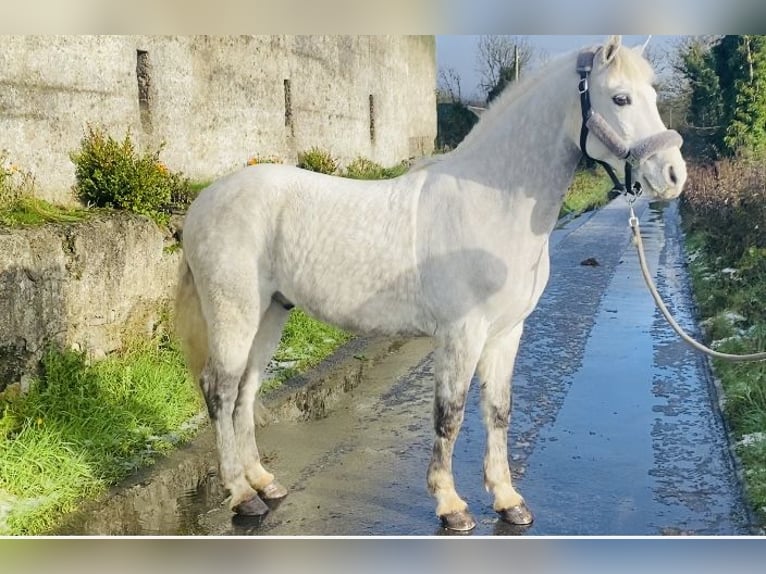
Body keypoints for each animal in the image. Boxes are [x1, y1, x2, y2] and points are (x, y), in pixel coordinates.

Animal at [177, 36, 688, 532]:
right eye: (620, 97)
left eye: (653, 95)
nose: (672, 175)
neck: (491, 203)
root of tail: (205, 201)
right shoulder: (462, 334)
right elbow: (450, 414)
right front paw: (451, 505)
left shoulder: (506, 333)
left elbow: (497, 412)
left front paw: (508, 501)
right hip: (236, 314)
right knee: (221, 393)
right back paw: (241, 496)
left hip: (271, 313)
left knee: (246, 393)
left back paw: (264, 482)